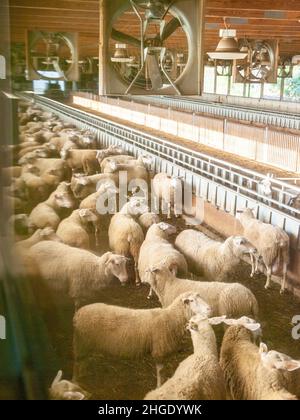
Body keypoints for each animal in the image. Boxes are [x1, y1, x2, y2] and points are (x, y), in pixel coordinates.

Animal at [73, 292, 212, 388]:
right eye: (192, 300)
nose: (209, 309)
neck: (170, 319)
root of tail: (78, 313)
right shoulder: (158, 350)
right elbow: (160, 371)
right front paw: (159, 386)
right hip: (81, 341)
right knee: (77, 361)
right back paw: (76, 381)